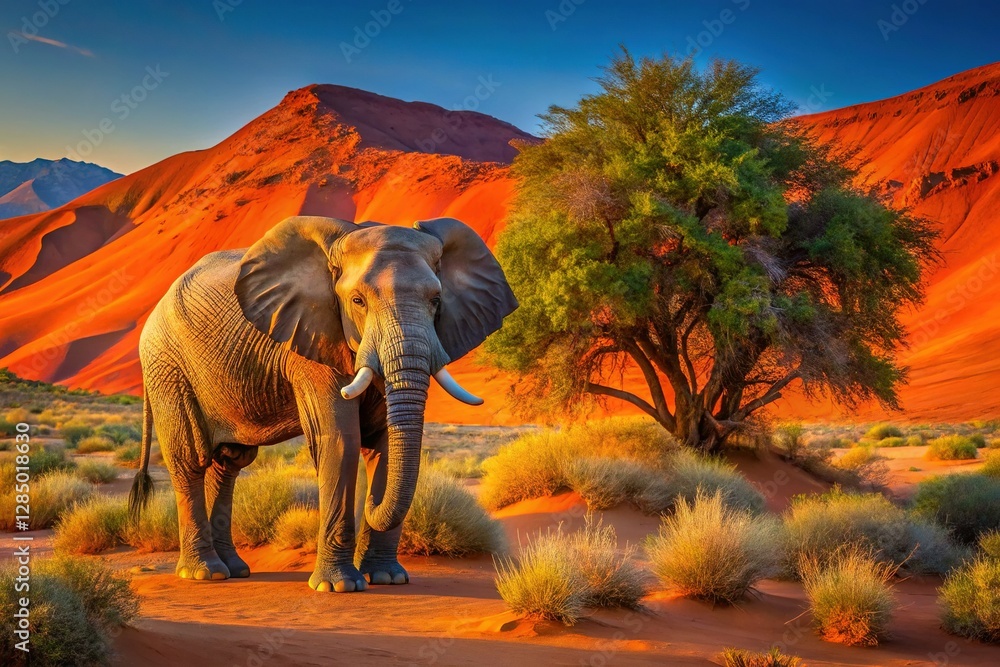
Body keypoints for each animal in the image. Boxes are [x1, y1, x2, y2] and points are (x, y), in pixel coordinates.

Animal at [128, 215, 517, 592]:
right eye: (358, 301)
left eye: (436, 300)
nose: (370, 505)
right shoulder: (314, 340)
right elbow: (340, 439)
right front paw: (339, 586)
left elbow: (384, 444)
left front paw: (387, 578)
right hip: (168, 367)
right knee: (190, 459)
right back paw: (204, 574)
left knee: (229, 463)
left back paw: (235, 570)